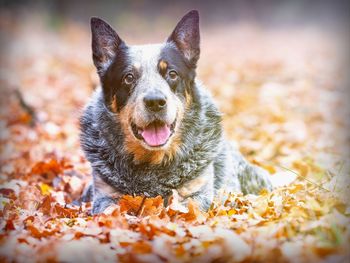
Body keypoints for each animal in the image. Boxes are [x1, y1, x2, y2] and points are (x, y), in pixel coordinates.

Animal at [80, 10, 272, 217]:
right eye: (128, 77)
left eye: (172, 74)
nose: (155, 101)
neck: (152, 164)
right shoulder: (104, 195)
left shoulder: (198, 194)